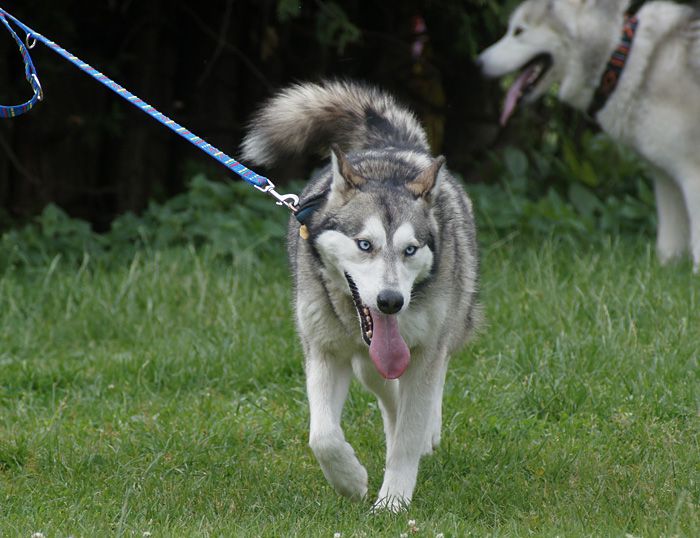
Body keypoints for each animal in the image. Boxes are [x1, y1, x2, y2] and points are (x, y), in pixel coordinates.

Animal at [239, 81, 476, 508]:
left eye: (410, 250)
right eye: (365, 245)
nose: (390, 302)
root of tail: (391, 145)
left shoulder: (426, 350)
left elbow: (410, 431)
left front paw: (393, 502)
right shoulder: (324, 352)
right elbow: (322, 436)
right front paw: (350, 481)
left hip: (447, 326)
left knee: (430, 383)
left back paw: (425, 431)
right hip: (367, 365)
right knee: (389, 394)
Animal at [478, 0, 700, 268]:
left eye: (519, 31)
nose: (477, 63)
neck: (624, 61)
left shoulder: (692, 174)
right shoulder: (665, 178)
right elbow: (668, 246)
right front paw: (666, 271)